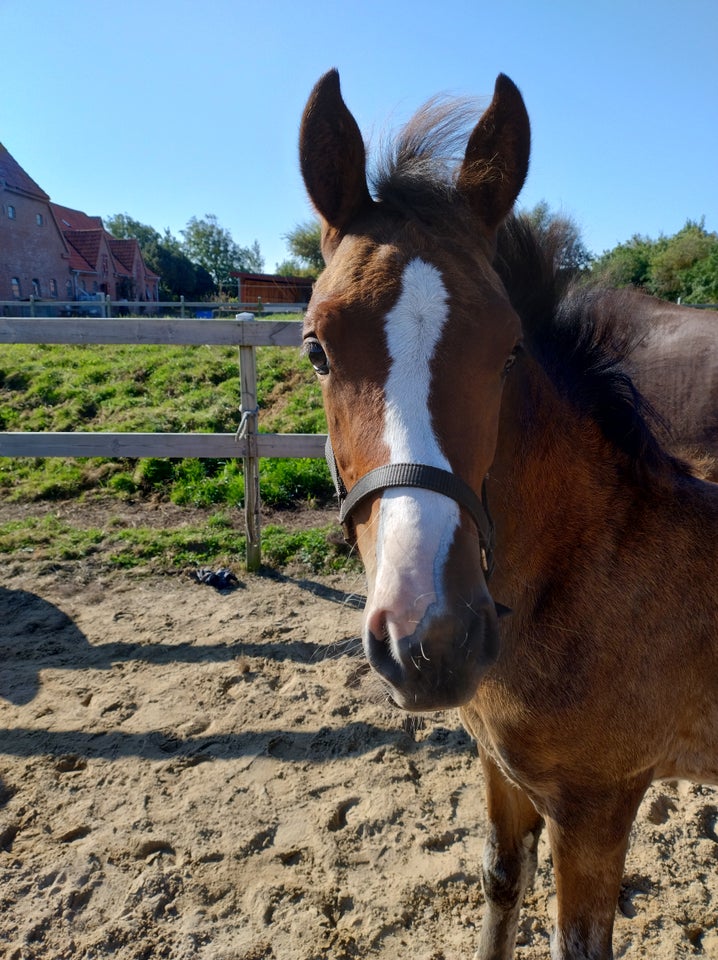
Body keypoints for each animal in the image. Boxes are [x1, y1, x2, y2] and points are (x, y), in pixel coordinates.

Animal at [298, 69, 718, 960]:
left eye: (508, 348)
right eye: (316, 348)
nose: (431, 640)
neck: (590, 566)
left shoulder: (598, 803)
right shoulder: (501, 770)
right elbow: (499, 884)